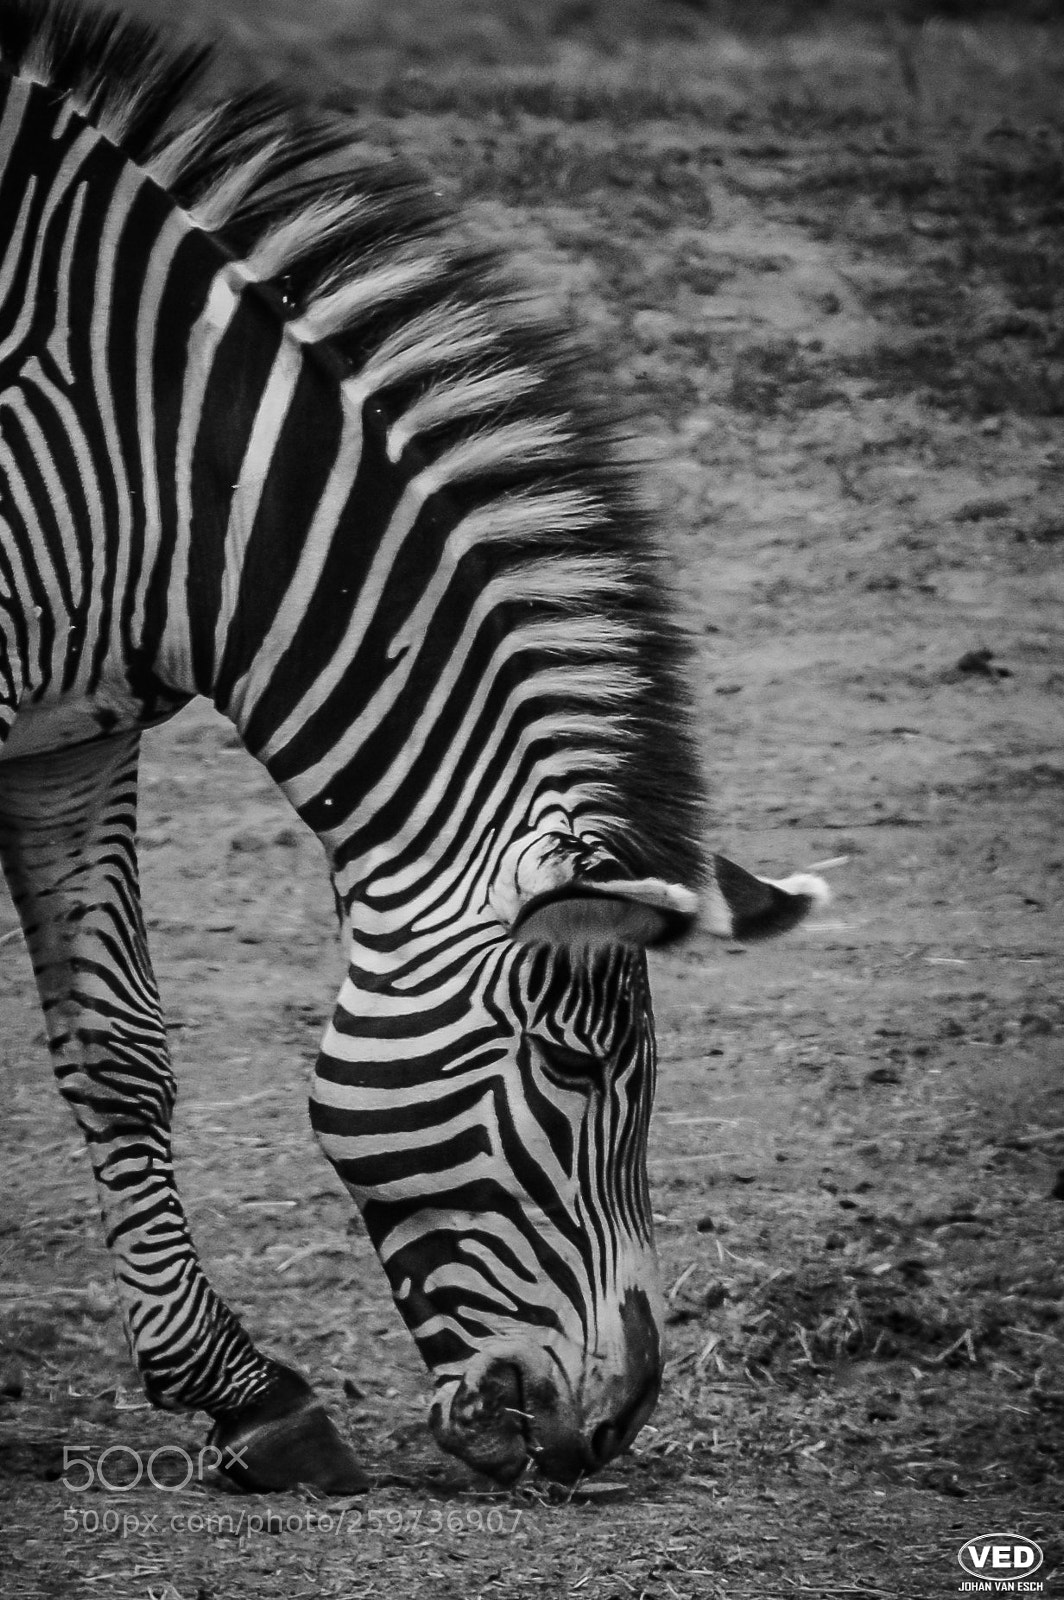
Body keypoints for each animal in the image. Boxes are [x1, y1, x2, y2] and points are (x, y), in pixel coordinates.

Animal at [0, 0, 829, 1492]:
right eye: (573, 1070)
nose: (608, 1429)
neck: (152, 452)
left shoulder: (69, 729)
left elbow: (119, 1047)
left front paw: (246, 1394)